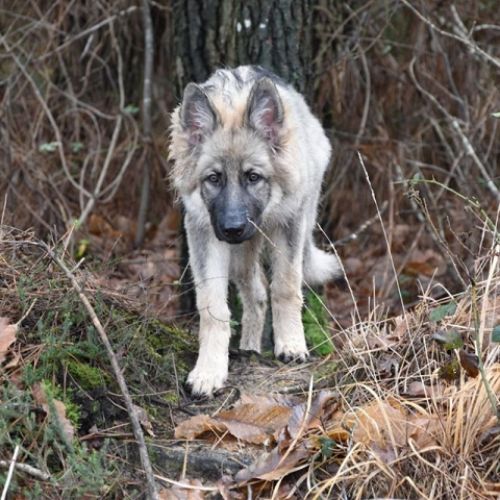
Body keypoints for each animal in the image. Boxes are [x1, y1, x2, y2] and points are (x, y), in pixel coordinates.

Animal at [169, 65, 340, 396]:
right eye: (214, 178)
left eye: (253, 177)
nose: (233, 229)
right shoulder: (204, 235)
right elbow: (213, 307)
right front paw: (209, 370)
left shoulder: (289, 225)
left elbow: (285, 288)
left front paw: (291, 344)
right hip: (239, 257)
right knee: (257, 294)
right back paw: (249, 347)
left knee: (268, 289)